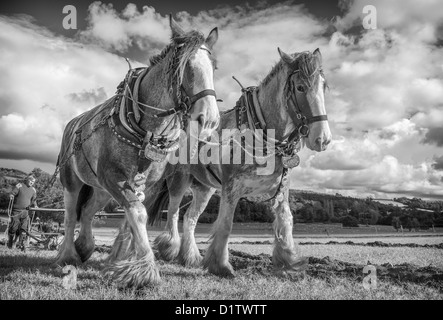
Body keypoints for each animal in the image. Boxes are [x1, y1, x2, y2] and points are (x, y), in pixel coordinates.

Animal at [55, 16, 220, 288]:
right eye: (181, 66)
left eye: (214, 67)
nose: (208, 118)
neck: (145, 131)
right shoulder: (115, 178)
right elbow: (138, 214)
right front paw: (144, 271)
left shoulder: (144, 183)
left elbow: (129, 218)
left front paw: (121, 262)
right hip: (71, 180)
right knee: (70, 216)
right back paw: (68, 254)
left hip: (100, 188)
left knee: (88, 211)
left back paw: (85, 246)